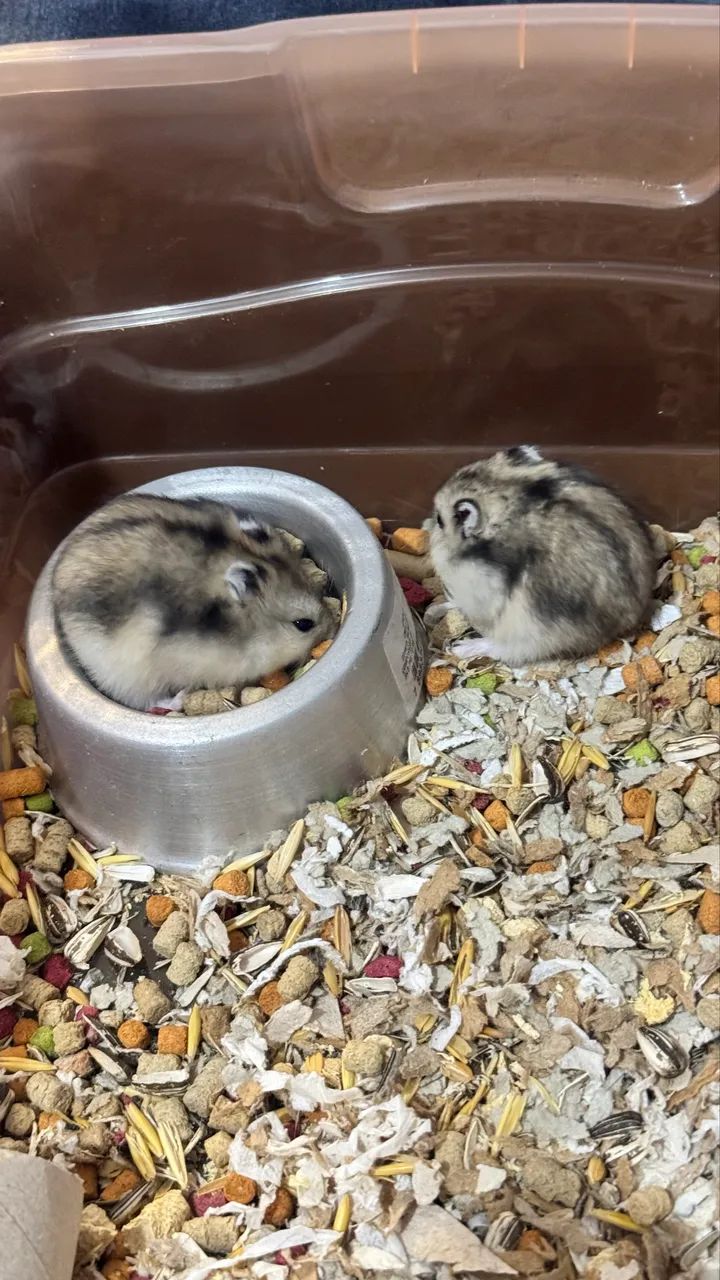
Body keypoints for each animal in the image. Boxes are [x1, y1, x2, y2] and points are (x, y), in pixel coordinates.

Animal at [430, 446, 656, 666]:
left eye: (440, 520)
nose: (431, 525)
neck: (510, 495)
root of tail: (629, 621)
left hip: (530, 629)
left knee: (505, 648)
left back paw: (461, 648)